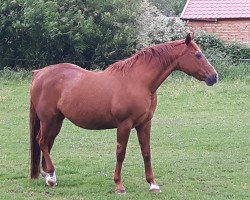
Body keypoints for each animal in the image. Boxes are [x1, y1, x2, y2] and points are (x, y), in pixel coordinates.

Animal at [28, 33, 217, 195]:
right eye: (198, 55)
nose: (214, 77)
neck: (138, 81)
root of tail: (39, 73)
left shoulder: (145, 124)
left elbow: (146, 152)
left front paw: (153, 184)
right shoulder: (124, 124)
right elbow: (121, 153)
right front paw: (119, 185)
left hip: (57, 121)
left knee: (47, 143)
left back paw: (48, 176)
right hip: (48, 119)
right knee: (42, 141)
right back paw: (51, 177)